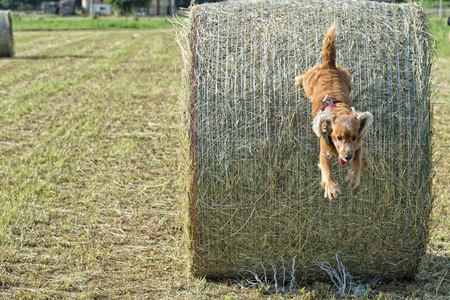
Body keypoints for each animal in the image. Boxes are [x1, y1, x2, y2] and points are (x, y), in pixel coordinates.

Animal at [296, 21, 372, 199]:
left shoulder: (358, 145)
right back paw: (297, 79)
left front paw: (354, 176)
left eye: (354, 136)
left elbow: (358, 159)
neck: (340, 111)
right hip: (308, 83)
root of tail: (328, 65)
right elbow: (326, 169)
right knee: (305, 73)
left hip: (346, 76)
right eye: (338, 137)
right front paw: (331, 187)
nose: (347, 155)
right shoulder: (324, 152)